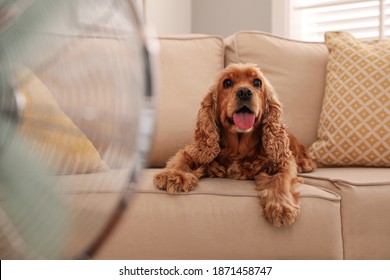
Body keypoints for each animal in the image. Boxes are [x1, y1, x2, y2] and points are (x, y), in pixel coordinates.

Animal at [153, 63, 316, 228]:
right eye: (227, 82)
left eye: (257, 82)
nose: (244, 92)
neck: (238, 149)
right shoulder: (193, 150)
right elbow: (181, 158)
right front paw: (174, 176)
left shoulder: (284, 161)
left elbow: (281, 177)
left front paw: (281, 205)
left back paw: (305, 164)